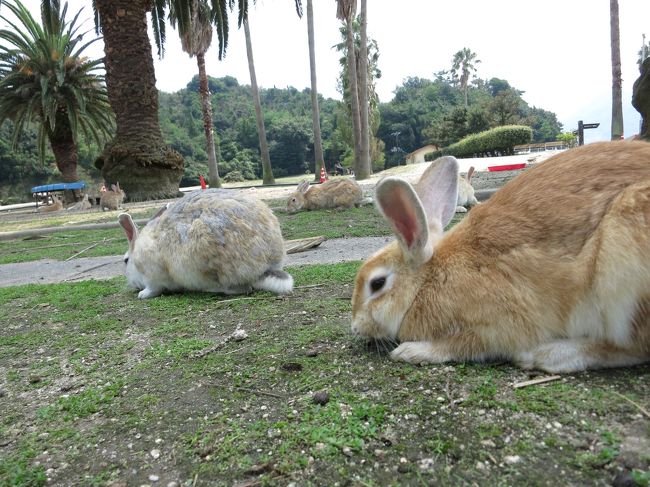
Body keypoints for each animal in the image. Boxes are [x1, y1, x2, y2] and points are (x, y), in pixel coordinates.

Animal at [117, 189, 292, 300]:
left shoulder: (153, 274)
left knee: (240, 289)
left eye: (125, 260)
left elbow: (153, 288)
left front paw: (142, 295)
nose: (132, 285)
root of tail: (266, 266)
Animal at [350, 141, 648, 374]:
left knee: (632, 347)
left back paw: (545, 355)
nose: (355, 327)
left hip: (622, 267)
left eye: (377, 284)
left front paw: (411, 351)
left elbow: (462, 344)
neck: (428, 281)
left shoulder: (498, 325)